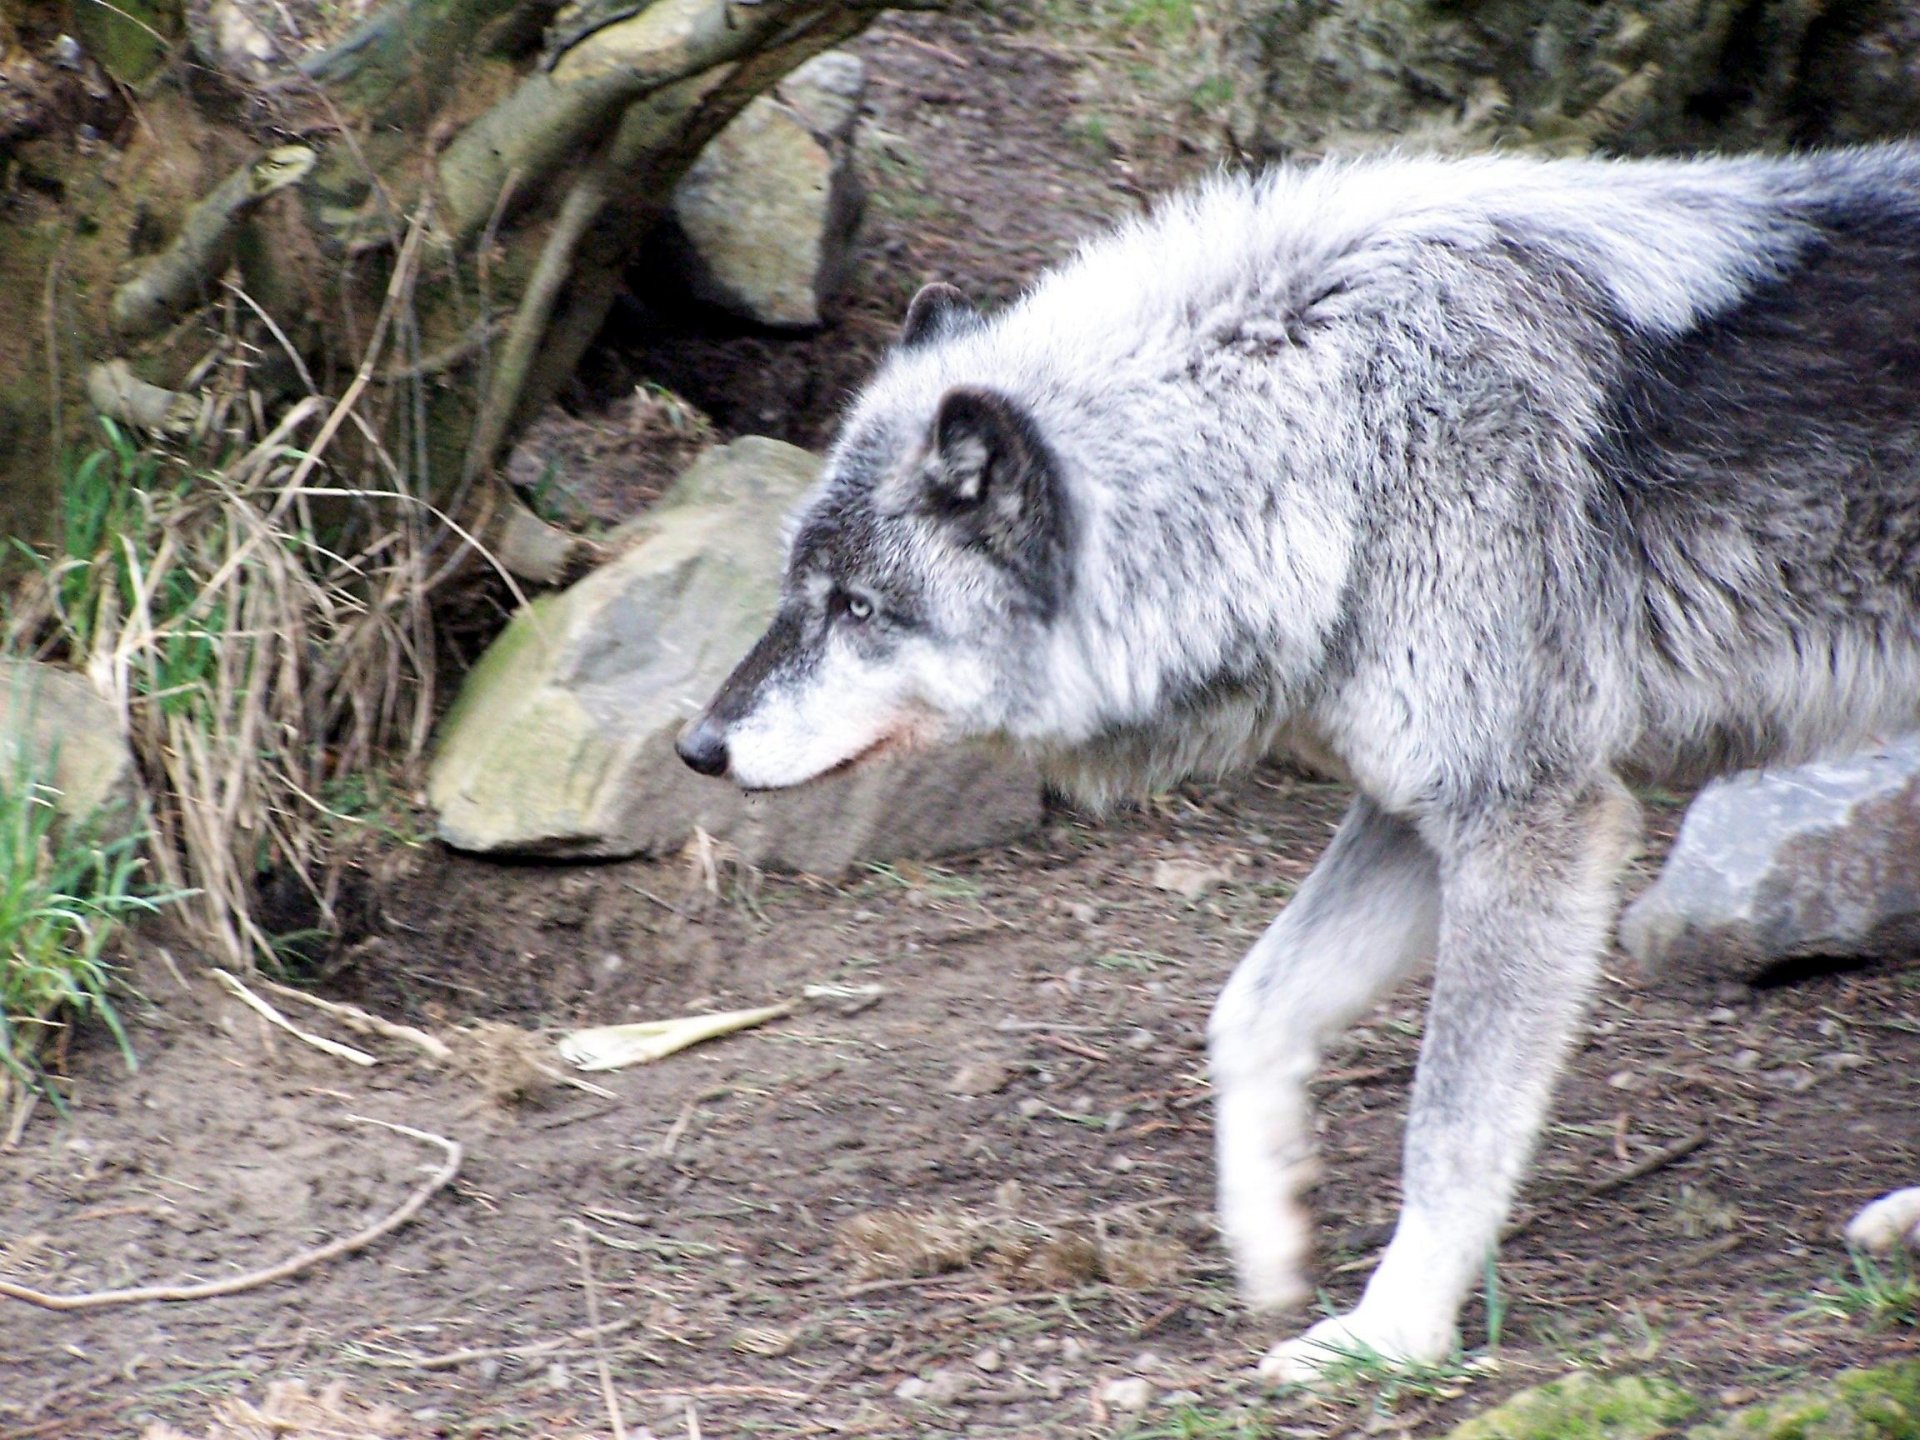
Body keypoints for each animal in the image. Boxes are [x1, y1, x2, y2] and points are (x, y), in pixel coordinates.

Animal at [672, 149, 1920, 1390]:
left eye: (858, 609)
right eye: (798, 594)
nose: (698, 748)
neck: (1339, 433)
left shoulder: (1528, 818)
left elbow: (1449, 1124)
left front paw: (1392, 1332)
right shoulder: (1406, 807)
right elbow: (1251, 1007)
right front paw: (1270, 1227)